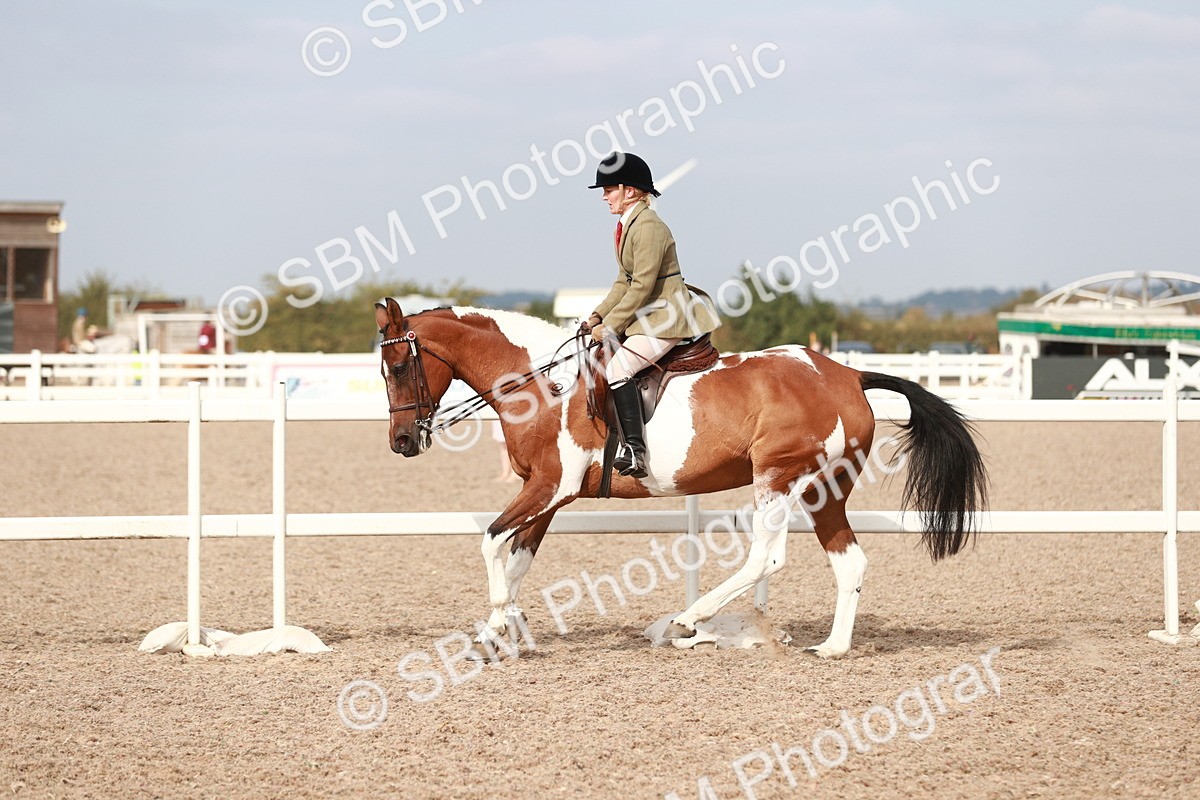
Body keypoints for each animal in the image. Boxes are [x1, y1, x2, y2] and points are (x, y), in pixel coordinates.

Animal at [374, 299, 988, 658]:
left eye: (399, 367)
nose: (402, 442)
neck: (541, 386)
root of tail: (847, 374)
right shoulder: (546, 498)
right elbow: (518, 557)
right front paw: (500, 630)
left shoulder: (550, 488)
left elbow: (490, 541)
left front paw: (499, 620)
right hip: (822, 491)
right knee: (849, 561)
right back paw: (833, 648)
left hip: (779, 476)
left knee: (766, 557)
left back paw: (690, 620)